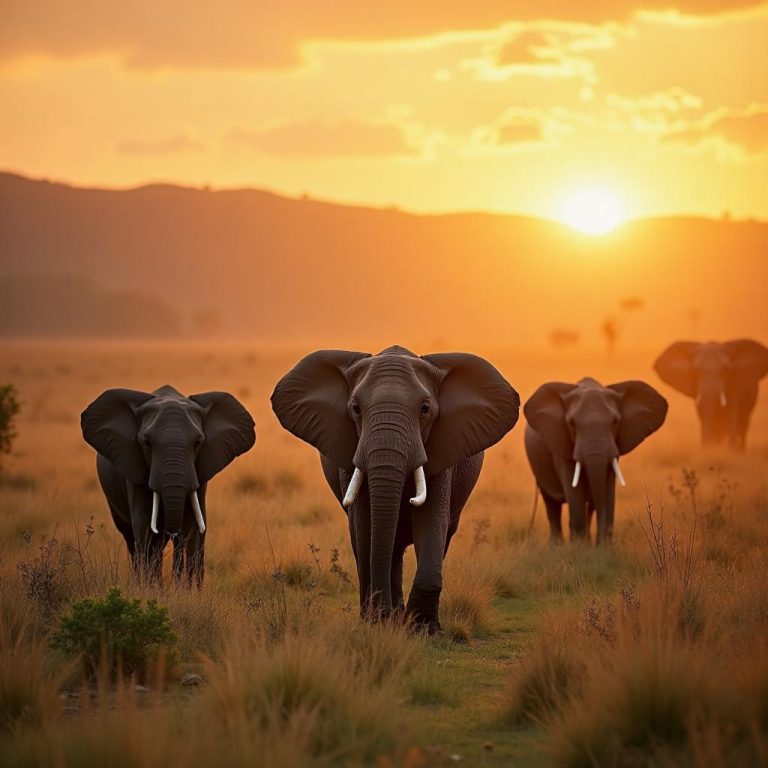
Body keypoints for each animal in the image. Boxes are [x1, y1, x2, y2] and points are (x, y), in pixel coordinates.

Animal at [81, 385, 255, 585]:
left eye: (198, 442)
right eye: (147, 443)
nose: (176, 581)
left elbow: (195, 528)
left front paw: (189, 591)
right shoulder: (133, 468)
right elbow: (145, 528)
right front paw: (150, 589)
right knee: (132, 538)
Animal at [270, 345, 519, 632]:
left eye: (425, 409)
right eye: (356, 408)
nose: (383, 614)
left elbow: (431, 523)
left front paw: (424, 630)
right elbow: (365, 528)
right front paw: (377, 623)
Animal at [524, 377, 667, 544]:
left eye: (615, 421)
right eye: (571, 423)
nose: (600, 543)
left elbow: (606, 490)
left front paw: (601, 547)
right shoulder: (561, 445)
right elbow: (575, 494)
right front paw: (579, 547)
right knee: (552, 505)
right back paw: (557, 544)